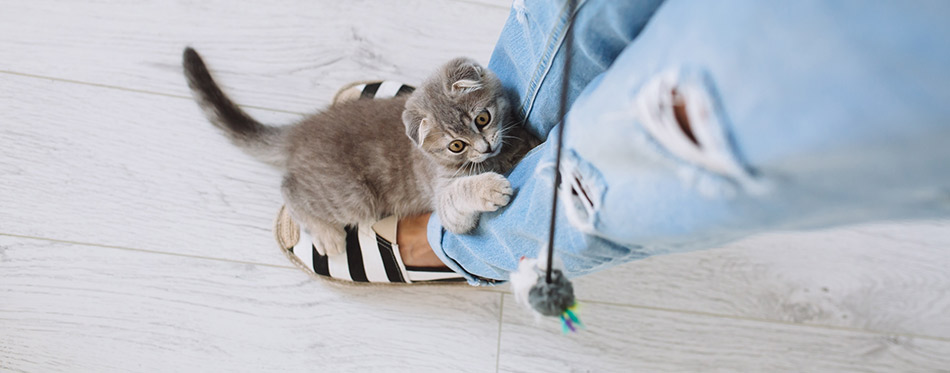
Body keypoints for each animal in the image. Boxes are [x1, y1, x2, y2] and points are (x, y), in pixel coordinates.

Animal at [182, 48, 540, 254]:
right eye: (456, 146)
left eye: (482, 118)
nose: (485, 146)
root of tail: (302, 131)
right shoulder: (443, 199)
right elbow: (458, 196)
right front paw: (488, 186)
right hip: (355, 198)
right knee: (288, 188)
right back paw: (326, 234)